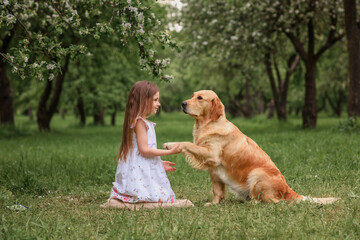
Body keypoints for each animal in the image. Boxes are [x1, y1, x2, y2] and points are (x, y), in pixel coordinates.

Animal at [165, 90, 338, 204]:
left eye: (200, 98)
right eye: (192, 95)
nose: (182, 103)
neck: (207, 125)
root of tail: (289, 190)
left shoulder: (211, 154)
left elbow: (187, 143)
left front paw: (170, 144)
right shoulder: (214, 172)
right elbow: (217, 191)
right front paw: (214, 204)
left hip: (256, 174)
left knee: (272, 201)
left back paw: (252, 203)